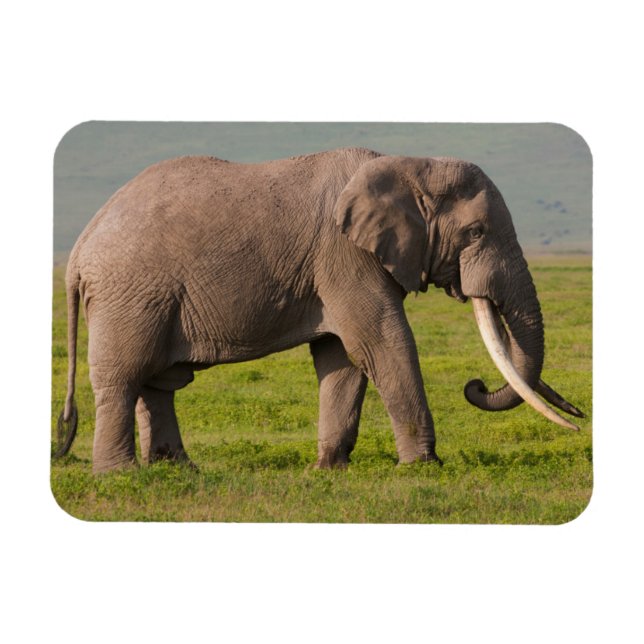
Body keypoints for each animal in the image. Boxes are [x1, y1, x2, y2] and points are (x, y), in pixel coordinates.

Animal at [55, 147, 584, 473]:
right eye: (475, 233)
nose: (474, 385)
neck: (411, 164)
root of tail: (79, 251)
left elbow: (342, 357)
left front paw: (329, 470)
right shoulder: (344, 254)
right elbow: (382, 342)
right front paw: (423, 467)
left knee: (156, 383)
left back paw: (178, 470)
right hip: (131, 294)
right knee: (124, 378)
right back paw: (120, 475)